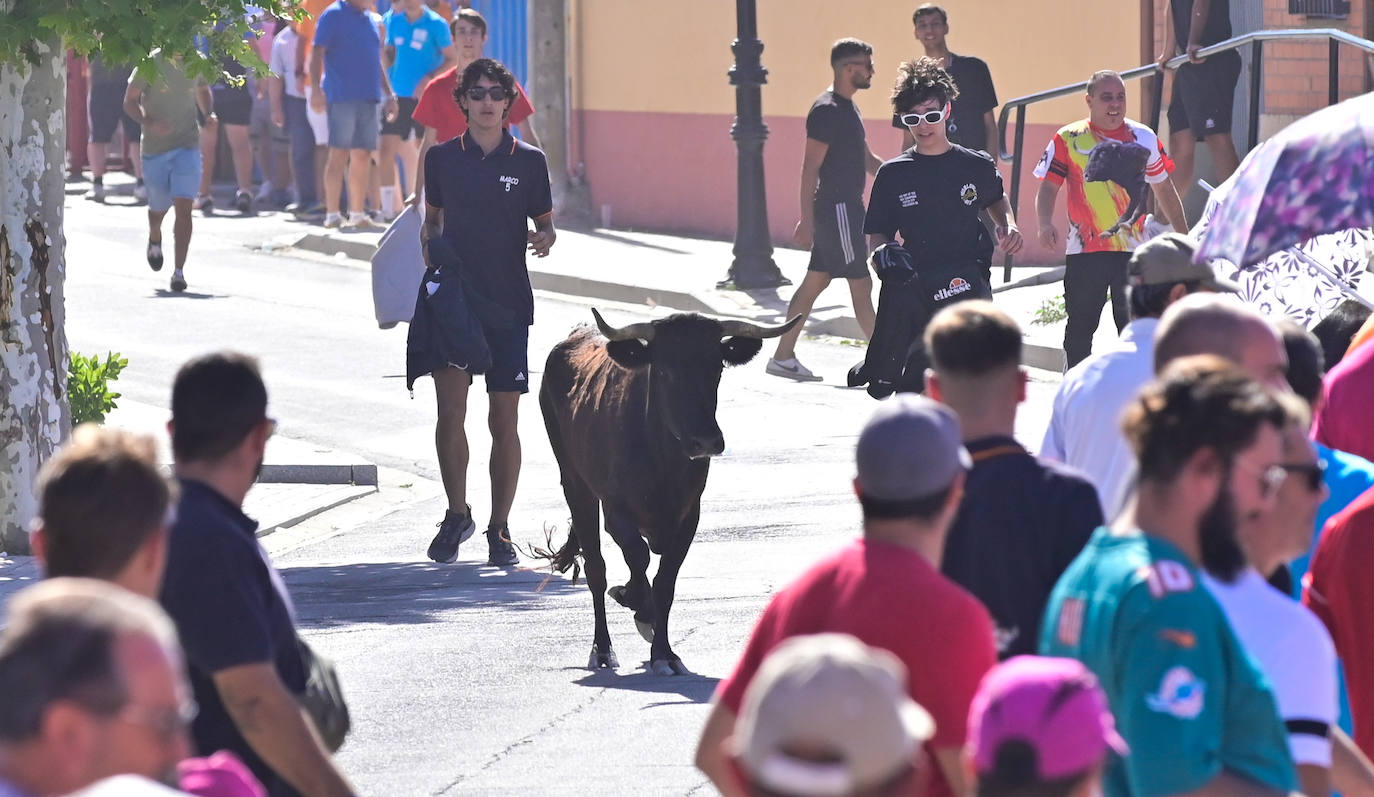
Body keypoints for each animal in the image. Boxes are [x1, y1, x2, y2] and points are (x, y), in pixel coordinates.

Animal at [535, 307, 796, 676]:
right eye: (664, 370)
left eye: (716, 367)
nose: (706, 441)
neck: (663, 459)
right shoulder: (616, 512)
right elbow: (639, 558)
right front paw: (637, 606)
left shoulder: (688, 517)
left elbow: (666, 581)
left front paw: (664, 651)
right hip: (575, 482)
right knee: (596, 569)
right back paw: (603, 649)